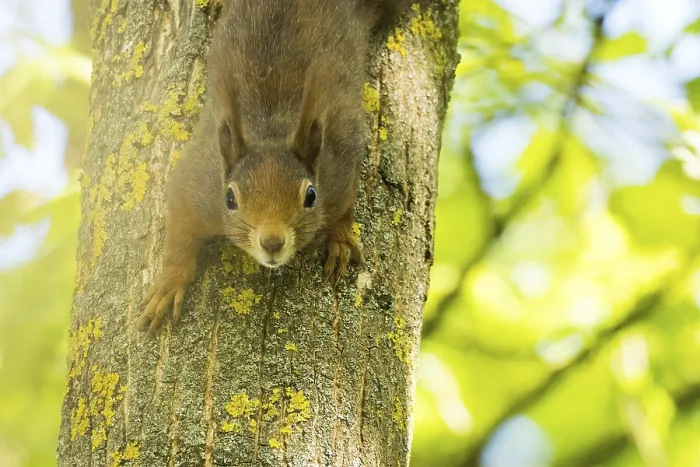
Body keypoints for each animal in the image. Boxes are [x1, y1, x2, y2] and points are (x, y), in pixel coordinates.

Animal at [138, 0, 412, 331]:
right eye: (229, 198)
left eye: (311, 196)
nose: (272, 242)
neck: (270, 133)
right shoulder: (198, 186)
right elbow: (179, 230)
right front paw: (169, 283)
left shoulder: (340, 165)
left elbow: (344, 208)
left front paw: (341, 239)